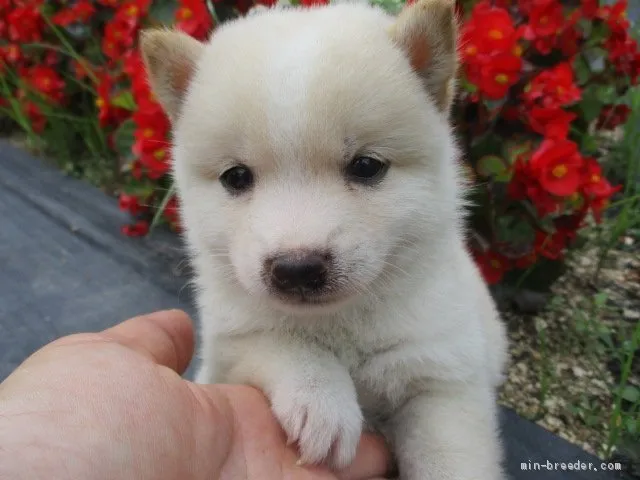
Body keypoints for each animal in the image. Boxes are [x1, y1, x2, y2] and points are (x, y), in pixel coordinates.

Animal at [142, 1, 508, 478]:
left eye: (367, 166)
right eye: (236, 177)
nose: (297, 268)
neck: (341, 325)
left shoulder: (441, 376)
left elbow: (451, 457)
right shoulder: (229, 345)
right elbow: (281, 342)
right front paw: (323, 403)